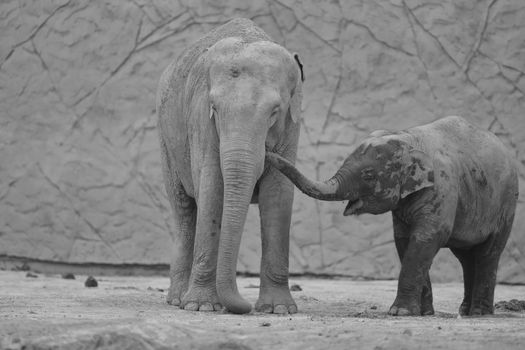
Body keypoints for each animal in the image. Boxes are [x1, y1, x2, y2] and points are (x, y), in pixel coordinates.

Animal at [156, 18, 302, 314]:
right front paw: (201, 306)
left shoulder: (291, 128)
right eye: (215, 108)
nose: (246, 306)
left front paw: (278, 310)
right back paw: (178, 300)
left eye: (275, 112)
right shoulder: (201, 120)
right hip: (167, 141)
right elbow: (212, 188)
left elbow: (278, 195)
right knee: (184, 209)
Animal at [268, 116, 516, 316]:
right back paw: (465, 311)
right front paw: (421, 313)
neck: (408, 137)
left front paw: (400, 312)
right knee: (466, 257)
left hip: (506, 204)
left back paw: (479, 313)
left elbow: (427, 238)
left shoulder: (442, 187)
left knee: (488, 253)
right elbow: (404, 241)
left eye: (368, 175)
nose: (268, 152)